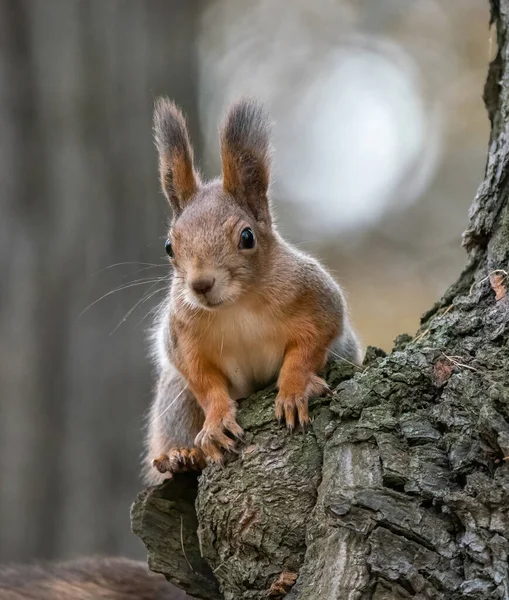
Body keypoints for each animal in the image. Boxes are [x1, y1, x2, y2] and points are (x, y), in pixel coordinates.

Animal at [145, 97, 364, 482]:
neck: (236, 305)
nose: (200, 284)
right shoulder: (182, 337)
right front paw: (216, 423)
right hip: (174, 399)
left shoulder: (318, 300)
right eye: (169, 247)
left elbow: (308, 349)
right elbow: (202, 380)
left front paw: (293, 391)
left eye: (247, 237)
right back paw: (180, 456)